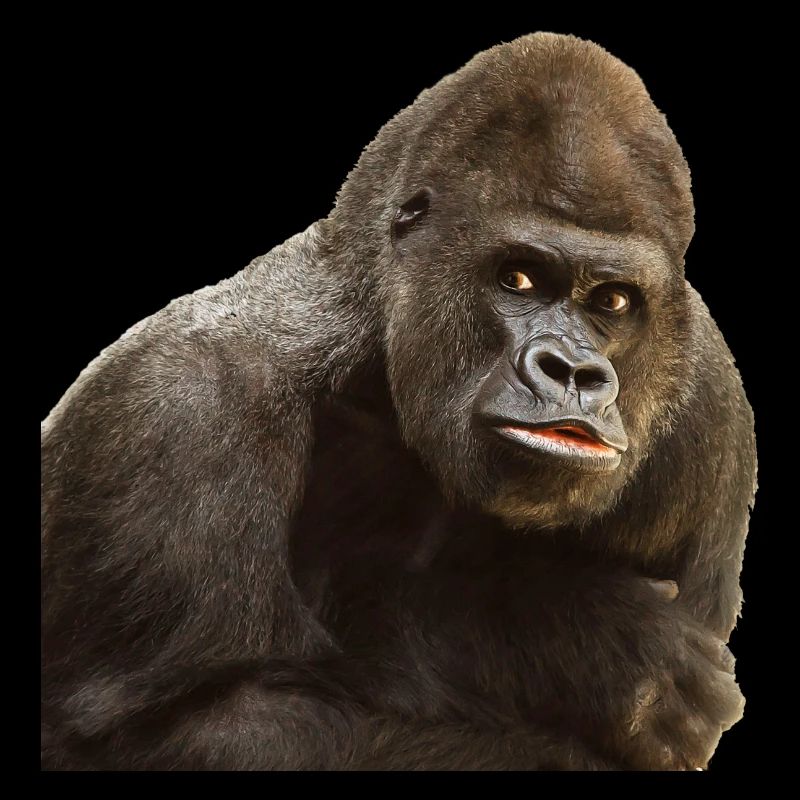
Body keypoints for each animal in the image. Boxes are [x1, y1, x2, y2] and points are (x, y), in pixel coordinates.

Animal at [41, 32, 756, 770]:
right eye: (518, 278)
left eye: (613, 301)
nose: (573, 372)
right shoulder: (179, 407)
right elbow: (176, 728)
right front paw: (570, 640)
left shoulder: (710, 411)